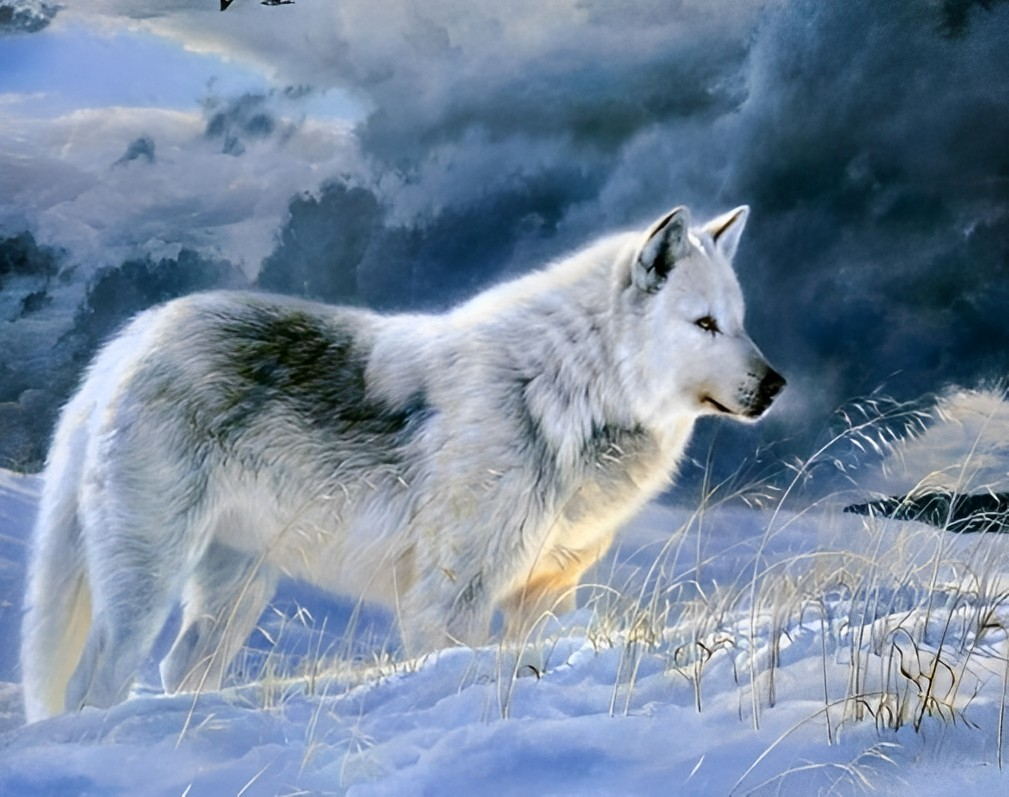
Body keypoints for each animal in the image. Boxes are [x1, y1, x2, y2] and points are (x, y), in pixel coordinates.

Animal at [21, 204, 784, 722]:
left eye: (740, 321)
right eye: (704, 324)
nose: (776, 385)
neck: (564, 391)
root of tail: (131, 337)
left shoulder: (546, 593)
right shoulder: (449, 601)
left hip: (235, 588)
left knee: (182, 669)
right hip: (147, 580)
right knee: (94, 684)